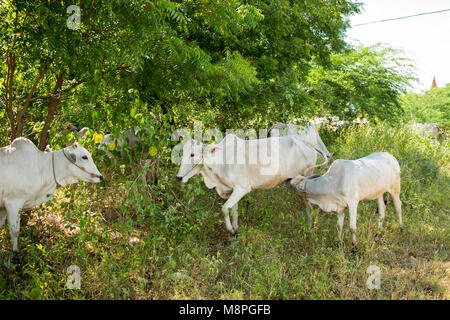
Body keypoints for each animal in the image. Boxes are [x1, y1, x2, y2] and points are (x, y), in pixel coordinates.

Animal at [174, 132, 326, 235]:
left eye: (192, 154)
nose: (179, 177)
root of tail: (303, 141)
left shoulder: (242, 188)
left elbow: (224, 209)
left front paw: (231, 230)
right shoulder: (232, 190)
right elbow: (233, 211)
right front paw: (235, 230)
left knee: (311, 205)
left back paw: (310, 228)